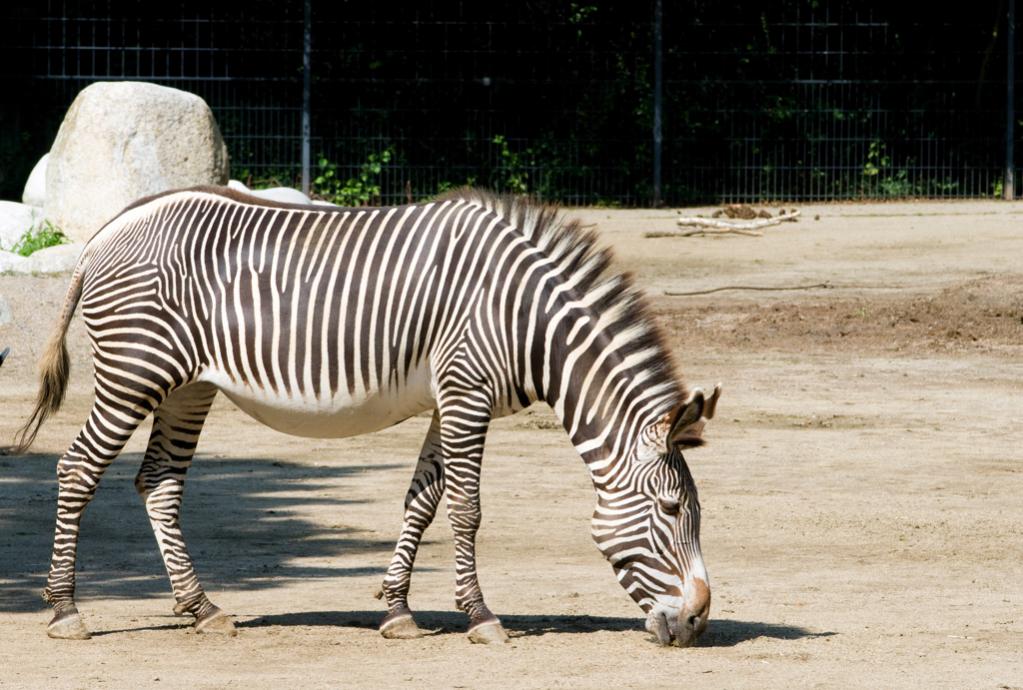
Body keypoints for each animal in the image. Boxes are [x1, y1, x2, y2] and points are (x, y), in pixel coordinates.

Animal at [10, 186, 720, 646]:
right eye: (670, 511)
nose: (695, 625)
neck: (529, 320)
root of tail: (108, 229)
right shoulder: (467, 393)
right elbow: (466, 509)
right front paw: (480, 617)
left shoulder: (447, 399)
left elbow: (422, 502)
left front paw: (397, 610)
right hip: (133, 370)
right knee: (78, 469)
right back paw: (66, 611)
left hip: (188, 386)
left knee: (158, 482)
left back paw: (202, 608)